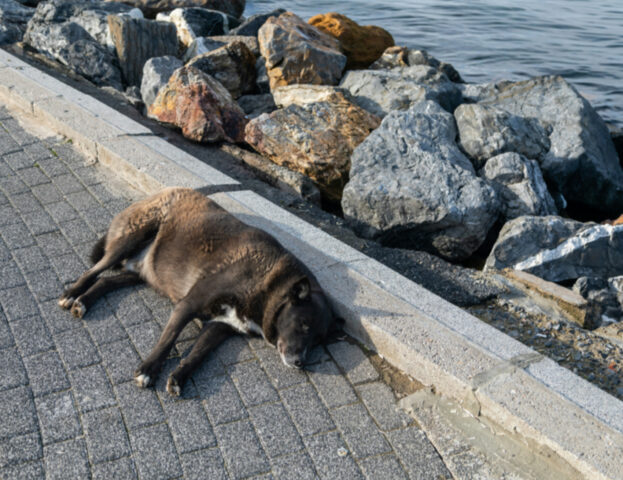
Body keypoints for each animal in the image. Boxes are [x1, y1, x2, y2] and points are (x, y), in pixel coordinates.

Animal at [58, 187, 342, 394]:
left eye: (318, 340)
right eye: (303, 325)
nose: (301, 363)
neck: (269, 286)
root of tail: (165, 190)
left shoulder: (219, 327)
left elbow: (198, 355)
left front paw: (180, 376)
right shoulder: (189, 304)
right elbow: (168, 339)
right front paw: (149, 369)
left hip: (142, 273)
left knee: (105, 282)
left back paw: (84, 301)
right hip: (132, 238)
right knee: (94, 270)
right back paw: (72, 293)